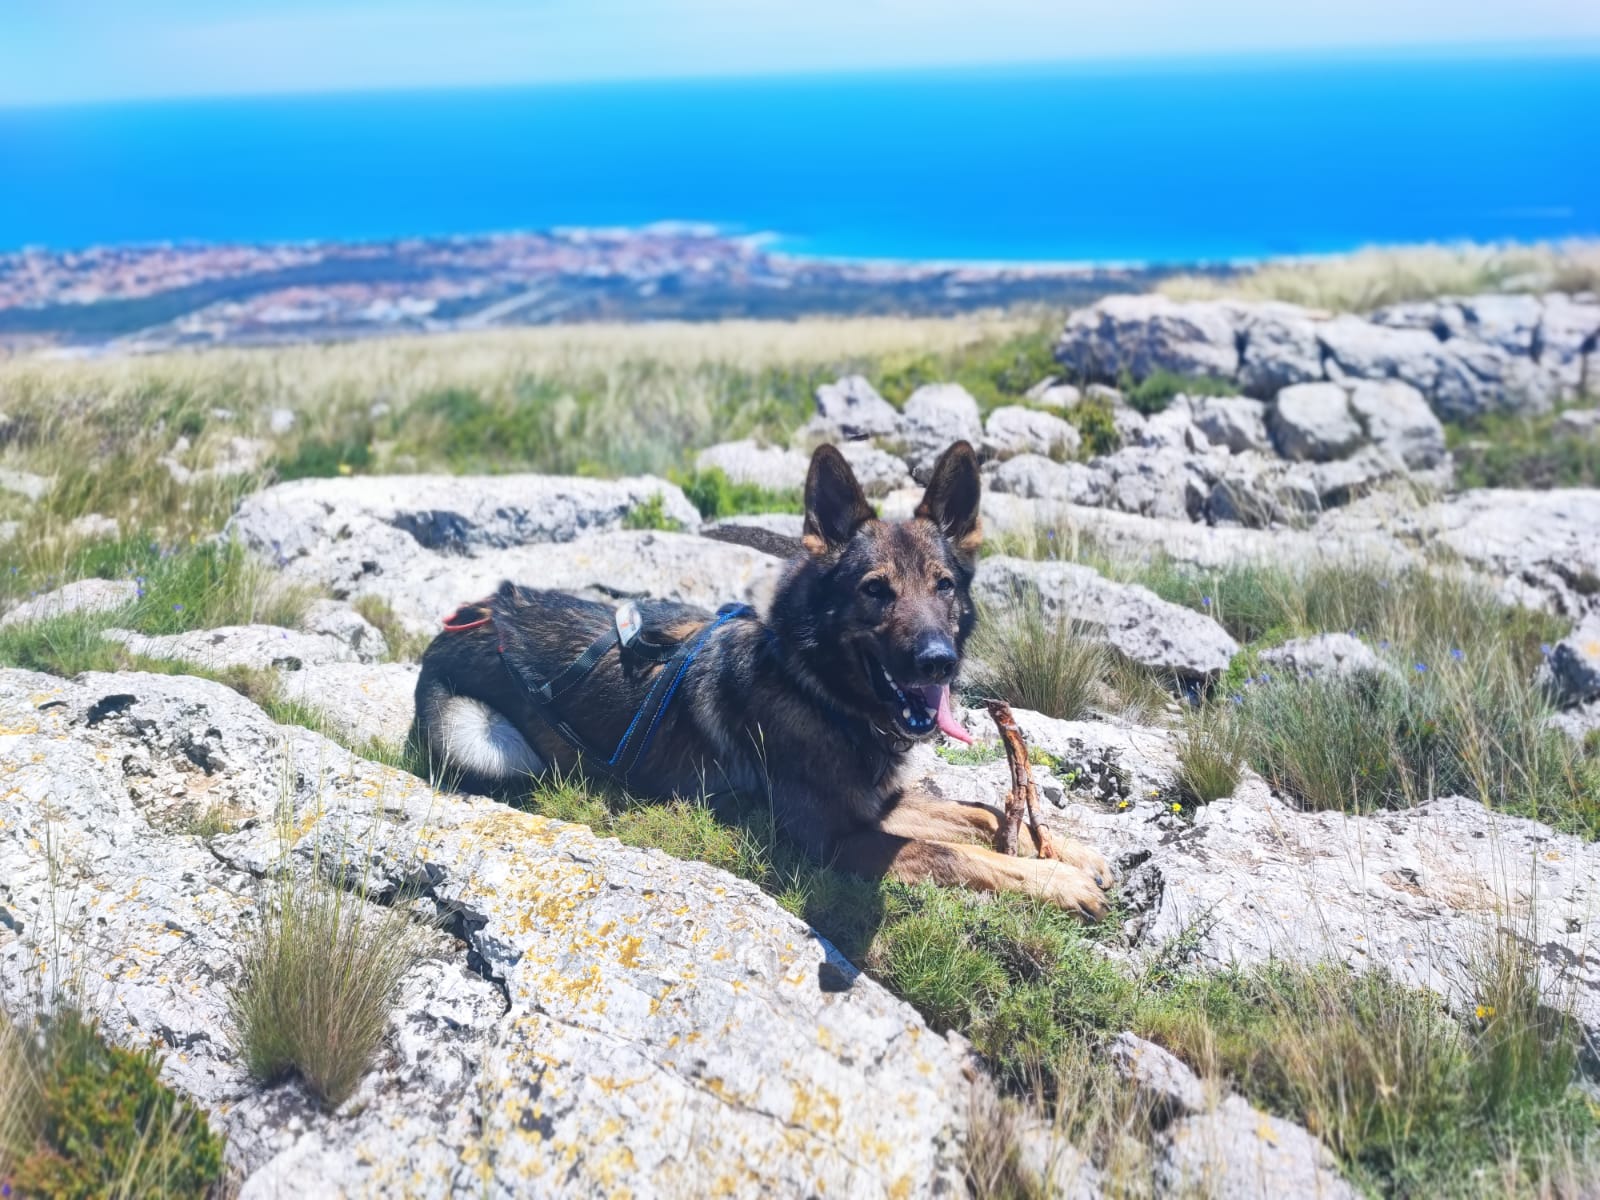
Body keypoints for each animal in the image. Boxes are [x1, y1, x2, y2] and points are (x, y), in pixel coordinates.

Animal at [412, 441, 1111, 916]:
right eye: (875, 590)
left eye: (943, 586)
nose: (939, 663)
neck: (820, 693)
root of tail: (469, 618)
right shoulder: (836, 842)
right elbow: (956, 850)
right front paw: (1059, 880)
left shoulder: (878, 805)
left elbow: (976, 811)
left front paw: (1070, 852)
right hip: (486, 743)